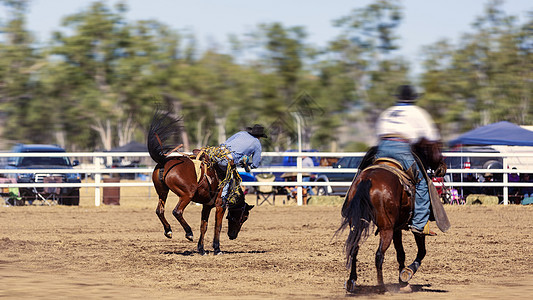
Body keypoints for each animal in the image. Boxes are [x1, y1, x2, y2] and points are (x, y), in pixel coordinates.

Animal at [147, 109, 252, 254]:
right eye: (244, 217)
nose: (233, 236)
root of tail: (164, 160)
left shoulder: (207, 206)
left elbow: (204, 226)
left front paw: (201, 249)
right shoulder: (220, 206)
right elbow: (217, 226)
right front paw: (217, 248)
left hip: (163, 192)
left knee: (159, 210)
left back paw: (168, 231)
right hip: (186, 194)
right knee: (177, 211)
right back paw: (189, 233)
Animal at [338, 139, 446, 292]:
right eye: (437, 145)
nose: (443, 167)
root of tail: (367, 179)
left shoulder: (397, 228)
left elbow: (400, 253)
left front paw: (403, 282)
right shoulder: (413, 229)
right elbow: (422, 251)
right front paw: (407, 273)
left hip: (357, 224)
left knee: (354, 248)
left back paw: (351, 281)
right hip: (386, 228)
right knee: (379, 255)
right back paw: (382, 286)